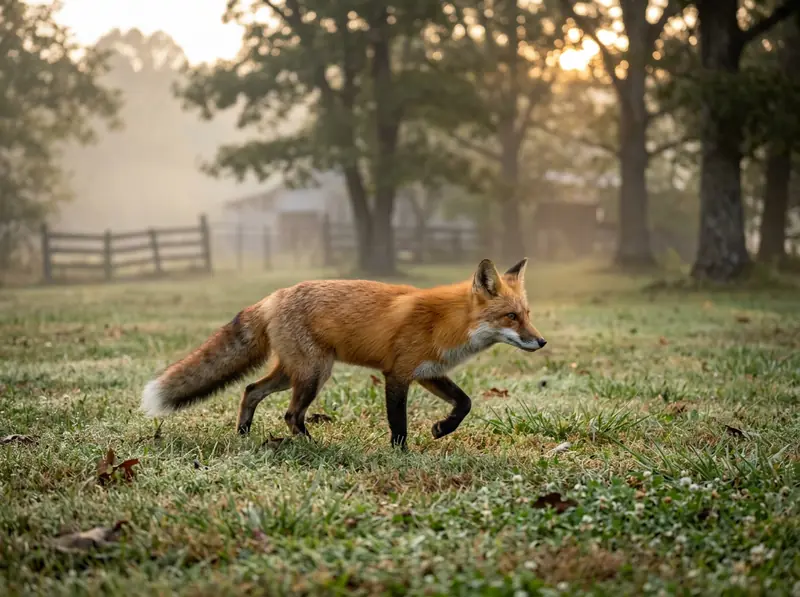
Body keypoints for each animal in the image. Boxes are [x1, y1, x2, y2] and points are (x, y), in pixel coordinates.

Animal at [140, 257, 546, 450]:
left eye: (527, 314)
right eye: (511, 317)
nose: (541, 342)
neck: (445, 323)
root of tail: (274, 296)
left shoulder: (428, 372)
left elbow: (465, 403)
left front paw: (441, 429)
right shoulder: (397, 374)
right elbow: (398, 424)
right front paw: (401, 455)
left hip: (294, 373)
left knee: (250, 390)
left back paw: (243, 434)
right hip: (314, 374)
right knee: (290, 414)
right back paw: (312, 446)